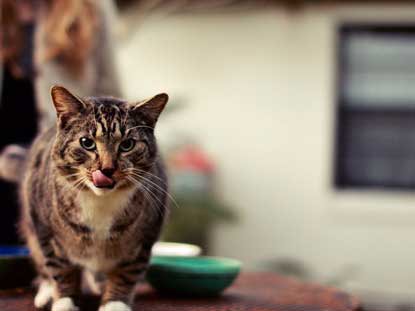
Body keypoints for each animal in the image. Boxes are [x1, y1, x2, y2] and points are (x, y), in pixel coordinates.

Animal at [19, 86, 169, 311]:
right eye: (87, 143)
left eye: (127, 144)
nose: (106, 169)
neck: (100, 202)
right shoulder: (46, 232)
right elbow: (61, 270)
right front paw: (65, 301)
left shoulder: (144, 239)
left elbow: (127, 273)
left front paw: (115, 303)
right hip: (31, 229)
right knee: (43, 266)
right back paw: (46, 294)